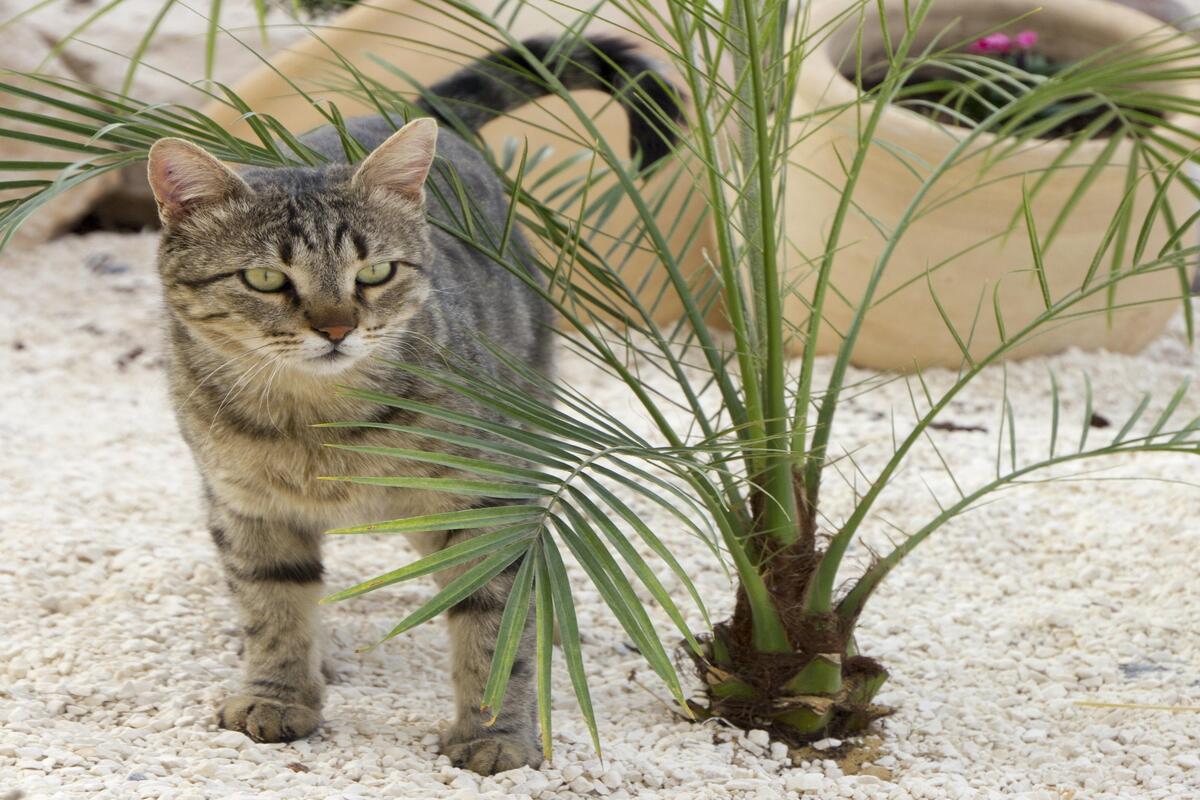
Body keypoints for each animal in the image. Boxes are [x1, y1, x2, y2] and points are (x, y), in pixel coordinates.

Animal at [145, 34, 681, 772]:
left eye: (375, 272)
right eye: (263, 278)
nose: (336, 328)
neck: (320, 423)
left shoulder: (489, 502)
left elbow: (493, 625)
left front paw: (493, 732)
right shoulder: (247, 508)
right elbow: (274, 610)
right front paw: (277, 694)